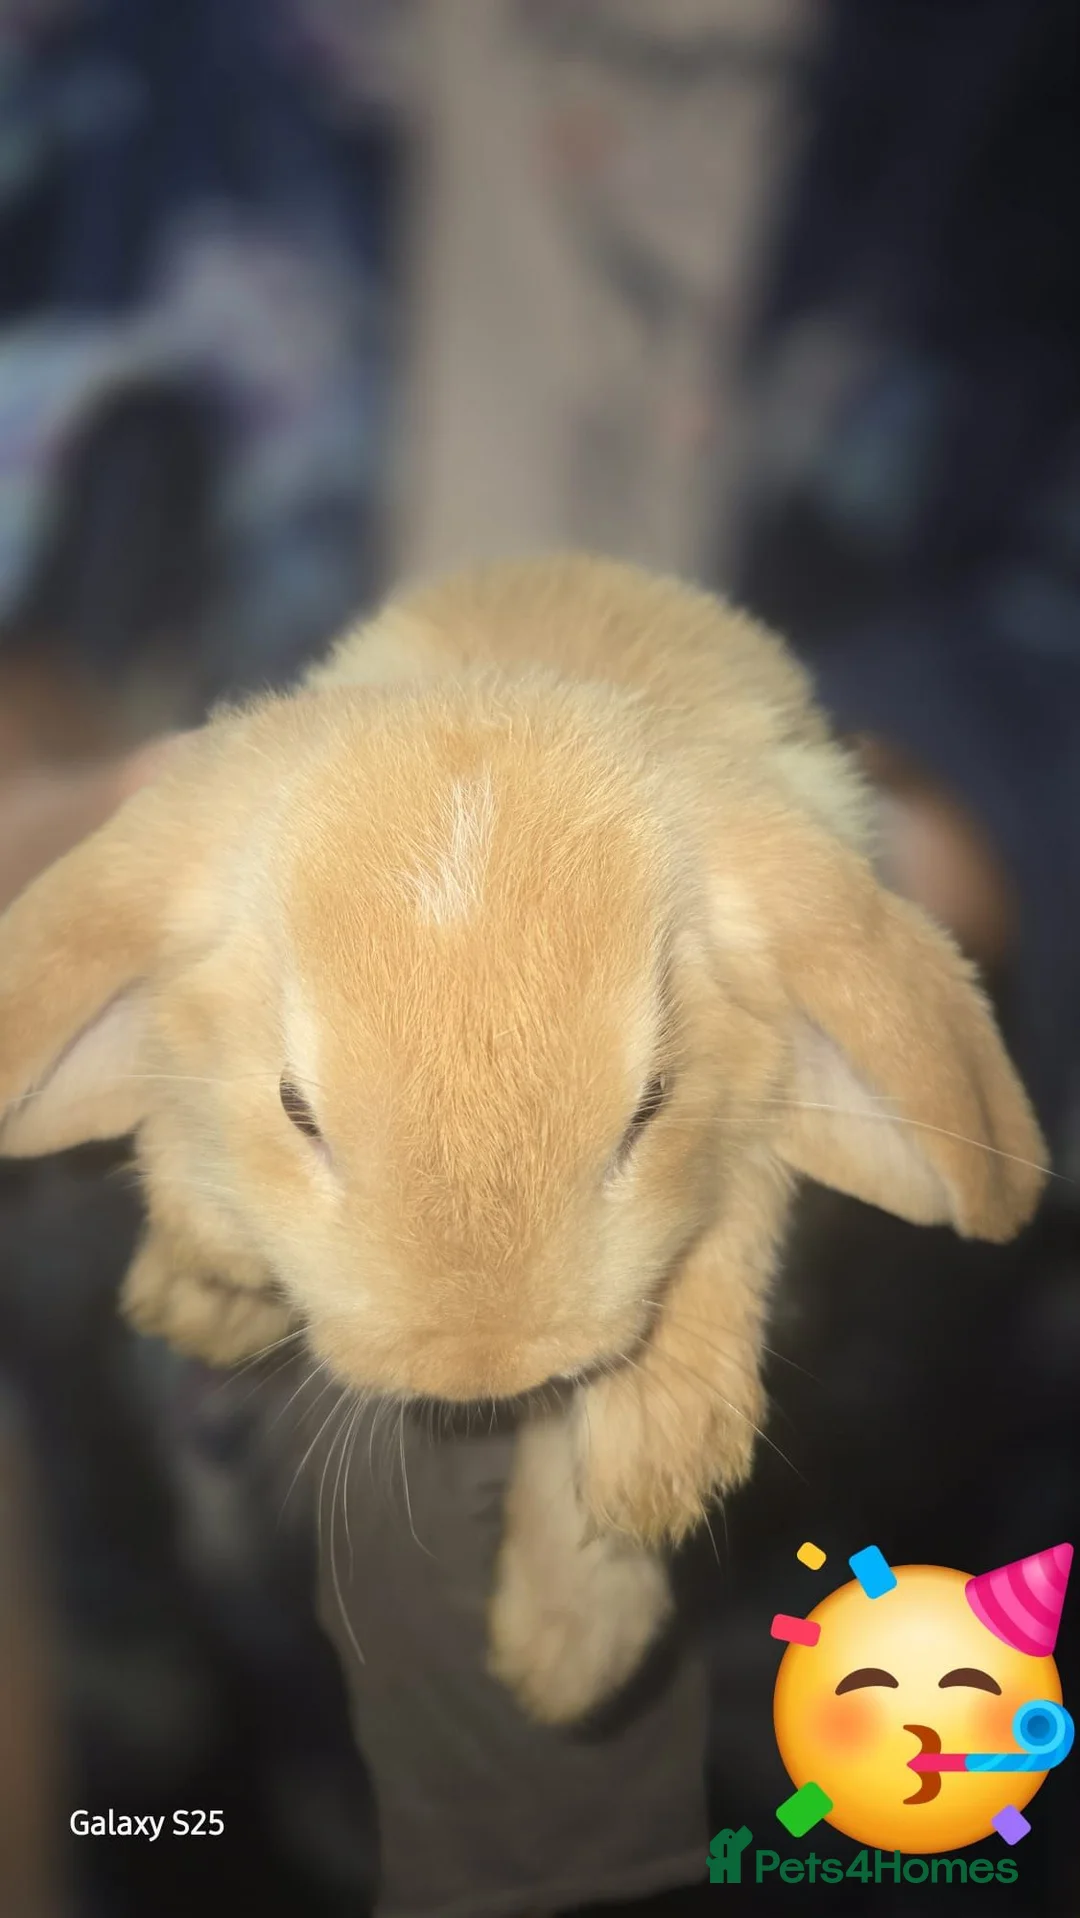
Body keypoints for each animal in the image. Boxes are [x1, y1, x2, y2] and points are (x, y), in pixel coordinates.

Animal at [0, 554, 1047, 1724]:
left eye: (650, 1105)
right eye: (295, 1107)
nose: (480, 1369)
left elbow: (727, 1229)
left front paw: (617, 1547)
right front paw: (204, 1273)